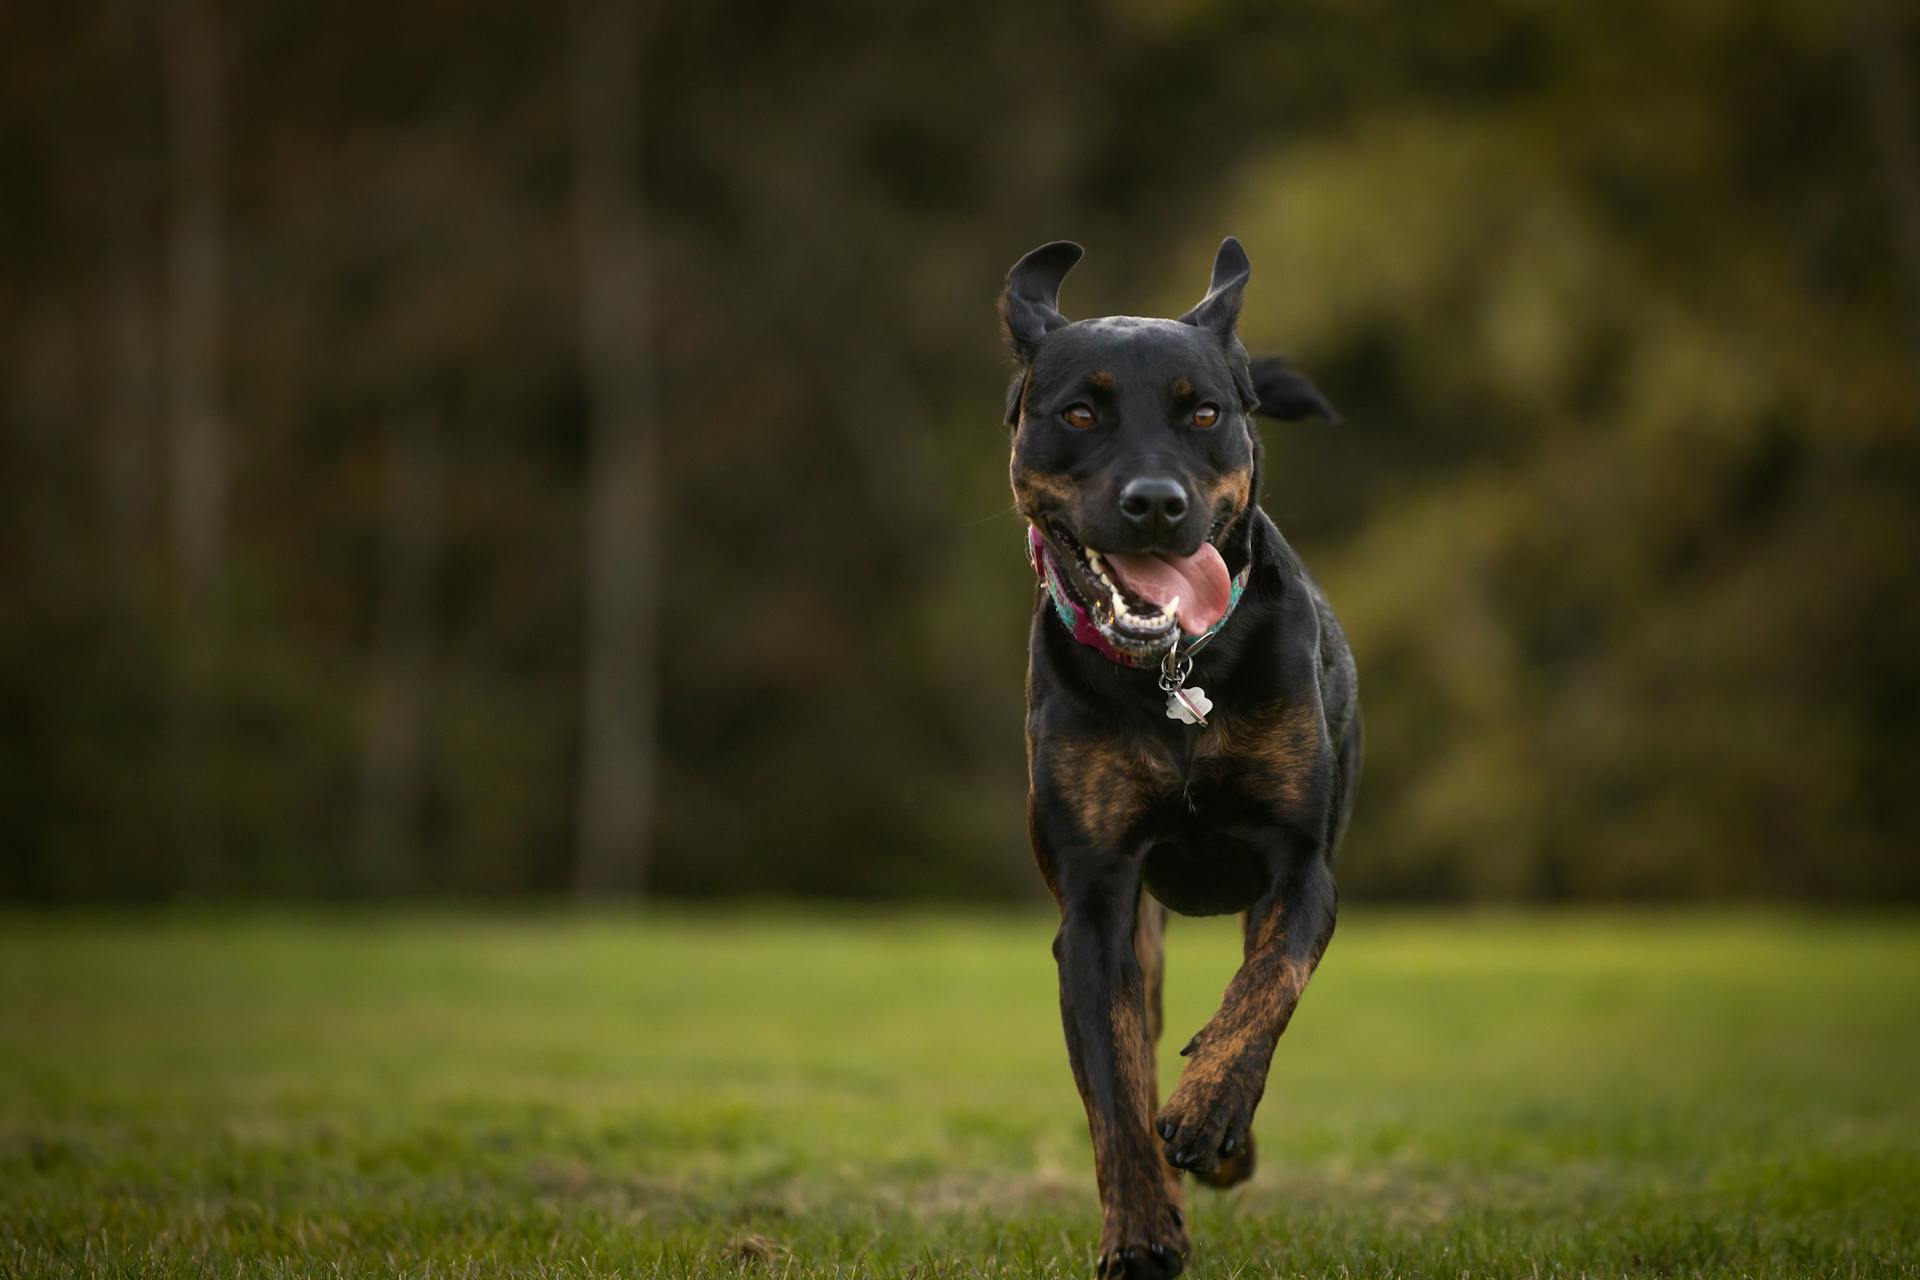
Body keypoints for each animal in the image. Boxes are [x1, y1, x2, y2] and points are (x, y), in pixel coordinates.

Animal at [998, 239, 1359, 1280]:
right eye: (1079, 412)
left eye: (1205, 413)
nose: (1156, 503)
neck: (1177, 672)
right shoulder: (1096, 904)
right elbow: (1115, 1089)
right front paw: (1141, 1235)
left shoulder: (1301, 861)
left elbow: (1269, 985)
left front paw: (1210, 1113)